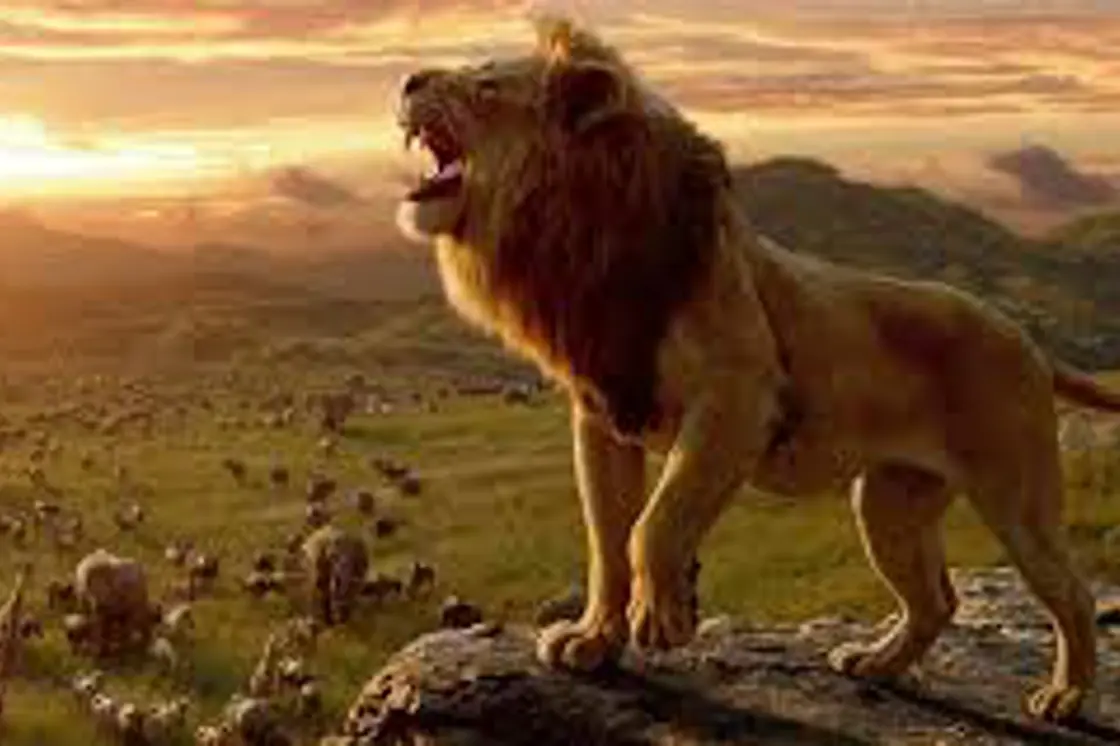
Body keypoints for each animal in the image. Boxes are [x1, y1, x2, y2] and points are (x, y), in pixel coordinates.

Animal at [393, 16, 1118, 722]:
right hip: (890, 502)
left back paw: (1065, 696)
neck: (576, 240)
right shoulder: (600, 415)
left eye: (485, 84)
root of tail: (1027, 341)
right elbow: (607, 539)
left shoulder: (738, 396)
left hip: (1016, 496)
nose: (406, 80)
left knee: (1071, 594)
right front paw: (594, 640)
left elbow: (656, 522)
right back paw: (874, 664)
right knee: (936, 600)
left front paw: (664, 618)